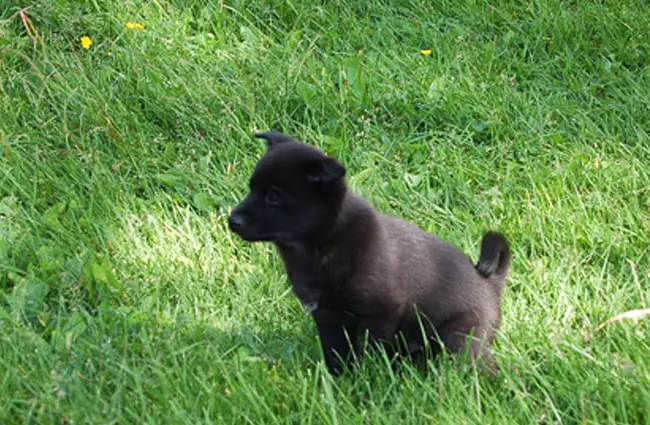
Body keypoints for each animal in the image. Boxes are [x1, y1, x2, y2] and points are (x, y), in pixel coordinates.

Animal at [230, 130, 508, 374]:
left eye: (274, 196)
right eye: (251, 188)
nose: (232, 220)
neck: (320, 244)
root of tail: (491, 281)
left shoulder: (380, 314)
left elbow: (375, 351)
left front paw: (373, 378)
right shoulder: (328, 318)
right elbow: (336, 353)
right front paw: (340, 380)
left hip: (460, 336)